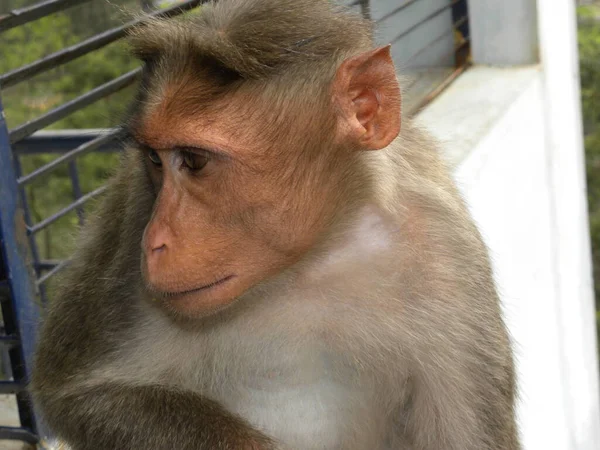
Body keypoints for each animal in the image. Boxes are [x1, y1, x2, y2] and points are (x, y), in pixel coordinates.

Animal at [30, 0, 524, 448]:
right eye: (154, 158)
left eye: (194, 160)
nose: (153, 244)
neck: (312, 258)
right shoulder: (132, 216)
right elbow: (77, 392)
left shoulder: (448, 256)